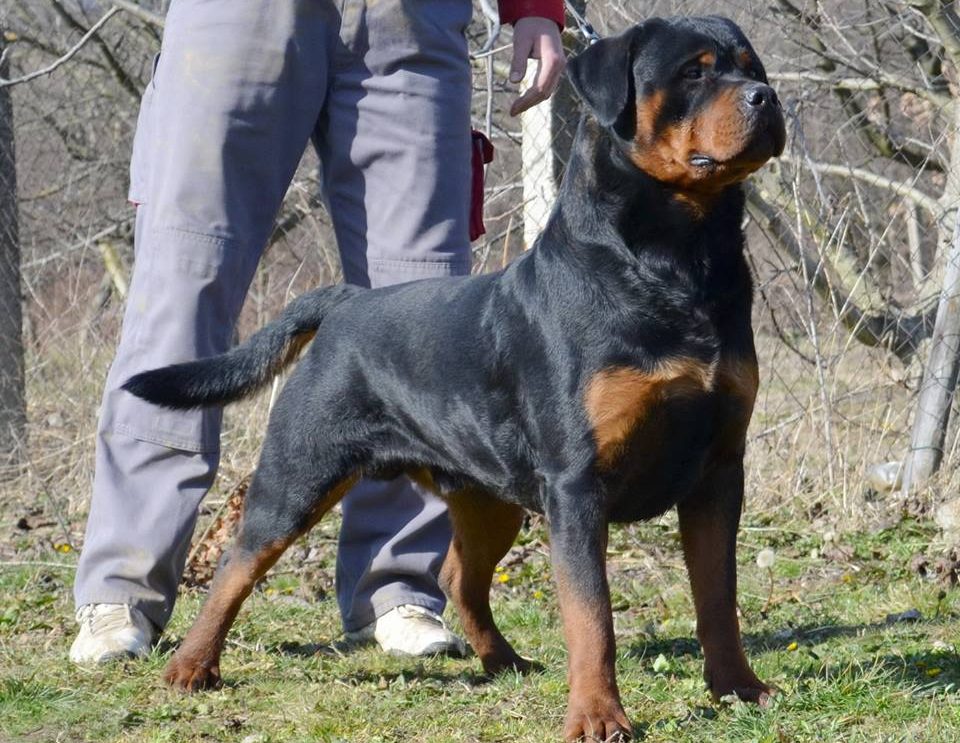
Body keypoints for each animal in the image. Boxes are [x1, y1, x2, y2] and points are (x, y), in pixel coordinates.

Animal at [125, 17, 788, 743]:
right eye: (695, 73)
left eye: (752, 66)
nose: (766, 97)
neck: (682, 256)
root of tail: (346, 301)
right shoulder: (577, 484)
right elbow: (592, 616)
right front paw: (597, 715)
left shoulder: (718, 470)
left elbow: (718, 597)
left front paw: (739, 687)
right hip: (301, 470)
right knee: (237, 563)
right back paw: (191, 665)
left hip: (489, 496)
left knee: (458, 576)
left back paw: (503, 660)